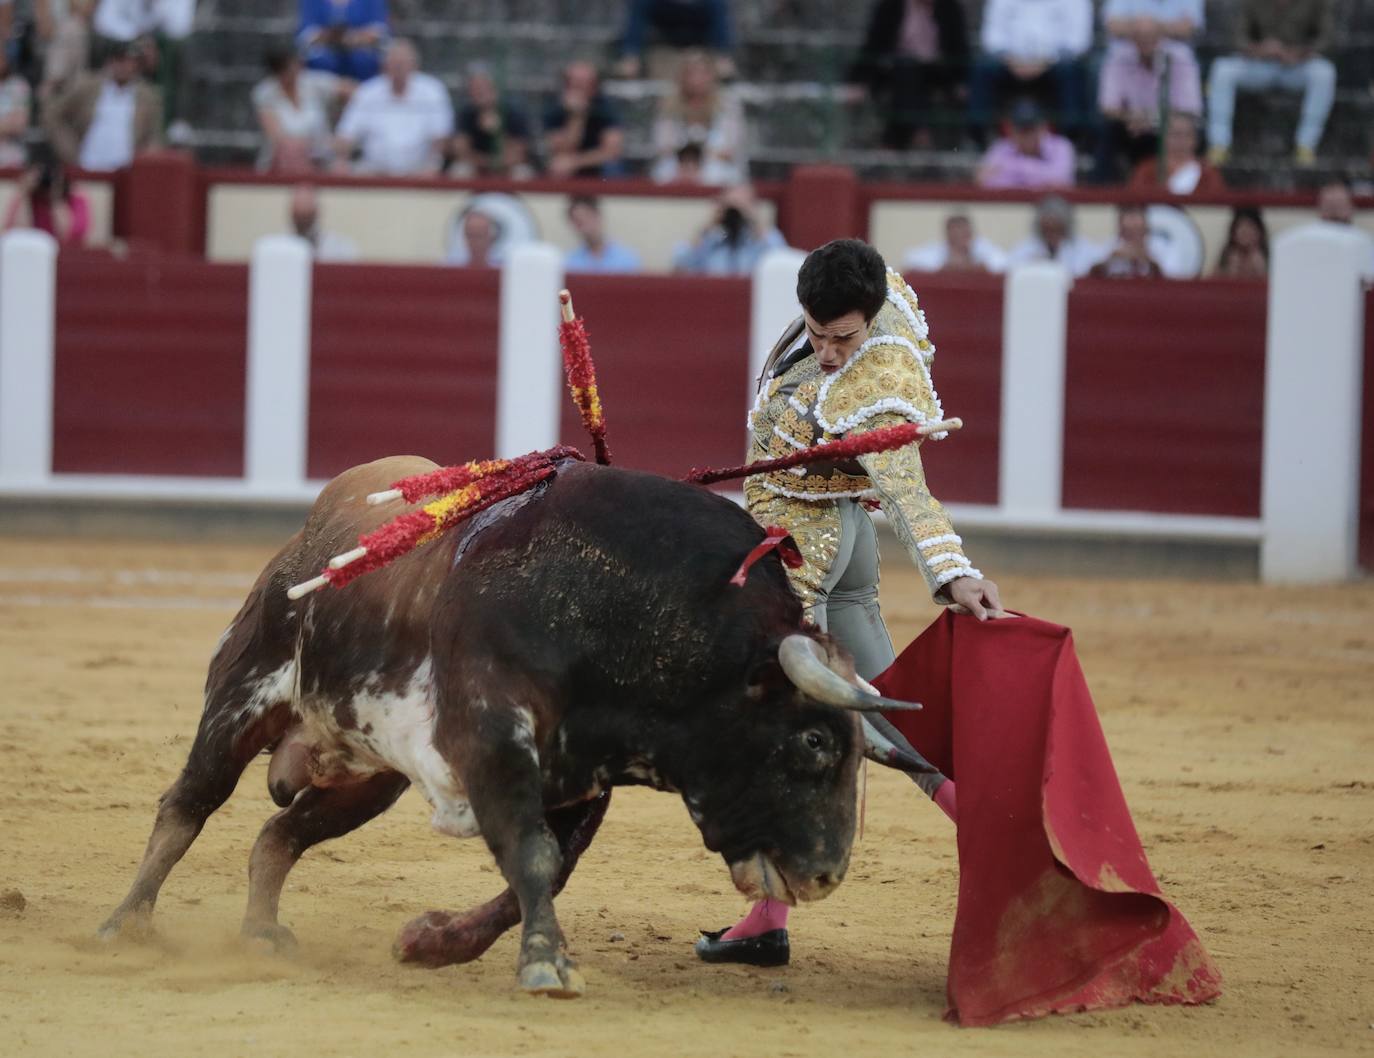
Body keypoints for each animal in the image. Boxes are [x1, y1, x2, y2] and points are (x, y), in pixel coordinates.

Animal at [99, 456, 923, 994]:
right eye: (813, 741)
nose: (828, 874)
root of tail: (310, 538)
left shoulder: (580, 777)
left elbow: (547, 863)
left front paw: (433, 941)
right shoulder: (494, 739)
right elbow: (529, 852)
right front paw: (546, 964)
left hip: (369, 775)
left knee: (280, 834)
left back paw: (262, 935)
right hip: (241, 697)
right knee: (189, 804)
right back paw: (126, 923)